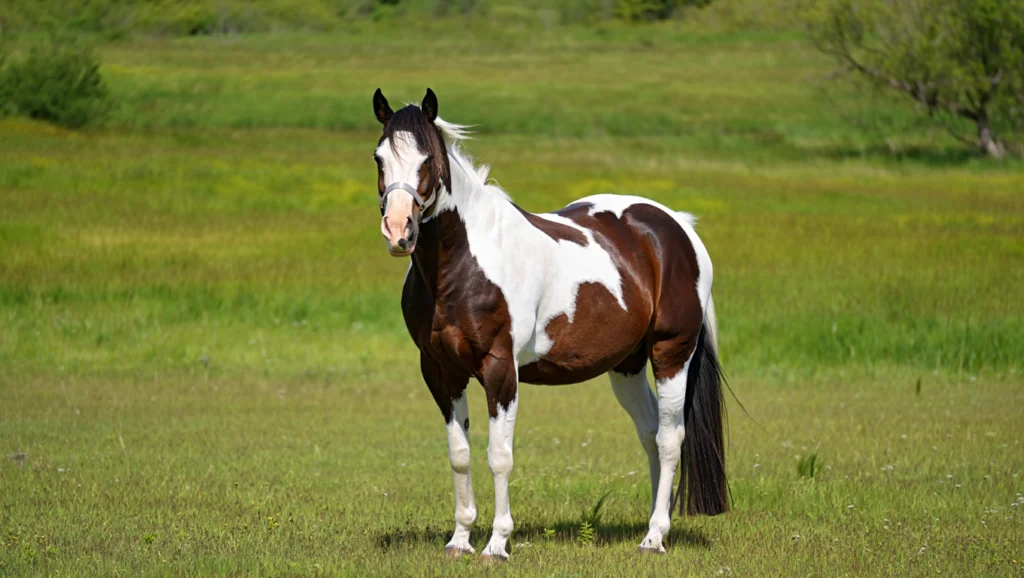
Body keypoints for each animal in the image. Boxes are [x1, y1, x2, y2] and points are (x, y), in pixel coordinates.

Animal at [371, 88, 728, 561]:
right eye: (379, 158)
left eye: (427, 158)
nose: (399, 231)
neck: (463, 264)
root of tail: (678, 227)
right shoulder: (440, 372)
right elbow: (460, 454)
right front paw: (460, 540)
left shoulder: (500, 369)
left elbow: (499, 455)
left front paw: (497, 543)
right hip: (627, 366)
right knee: (650, 433)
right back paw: (653, 525)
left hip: (672, 353)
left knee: (670, 439)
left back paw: (654, 537)